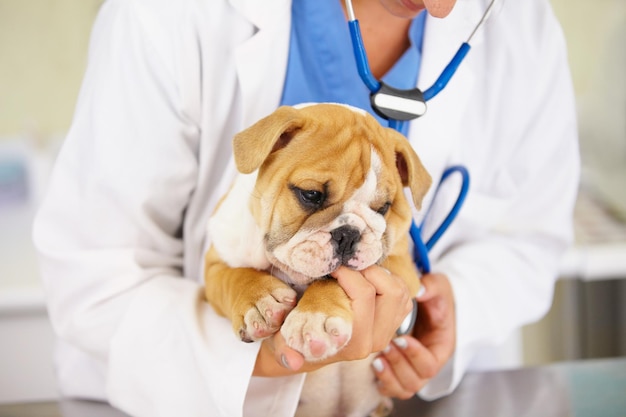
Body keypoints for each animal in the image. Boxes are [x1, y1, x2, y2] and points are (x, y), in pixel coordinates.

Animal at [204, 101, 428, 416]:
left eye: (383, 208)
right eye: (311, 194)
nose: (349, 234)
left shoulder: (400, 268)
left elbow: (336, 281)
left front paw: (314, 318)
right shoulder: (214, 263)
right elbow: (233, 276)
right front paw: (259, 302)